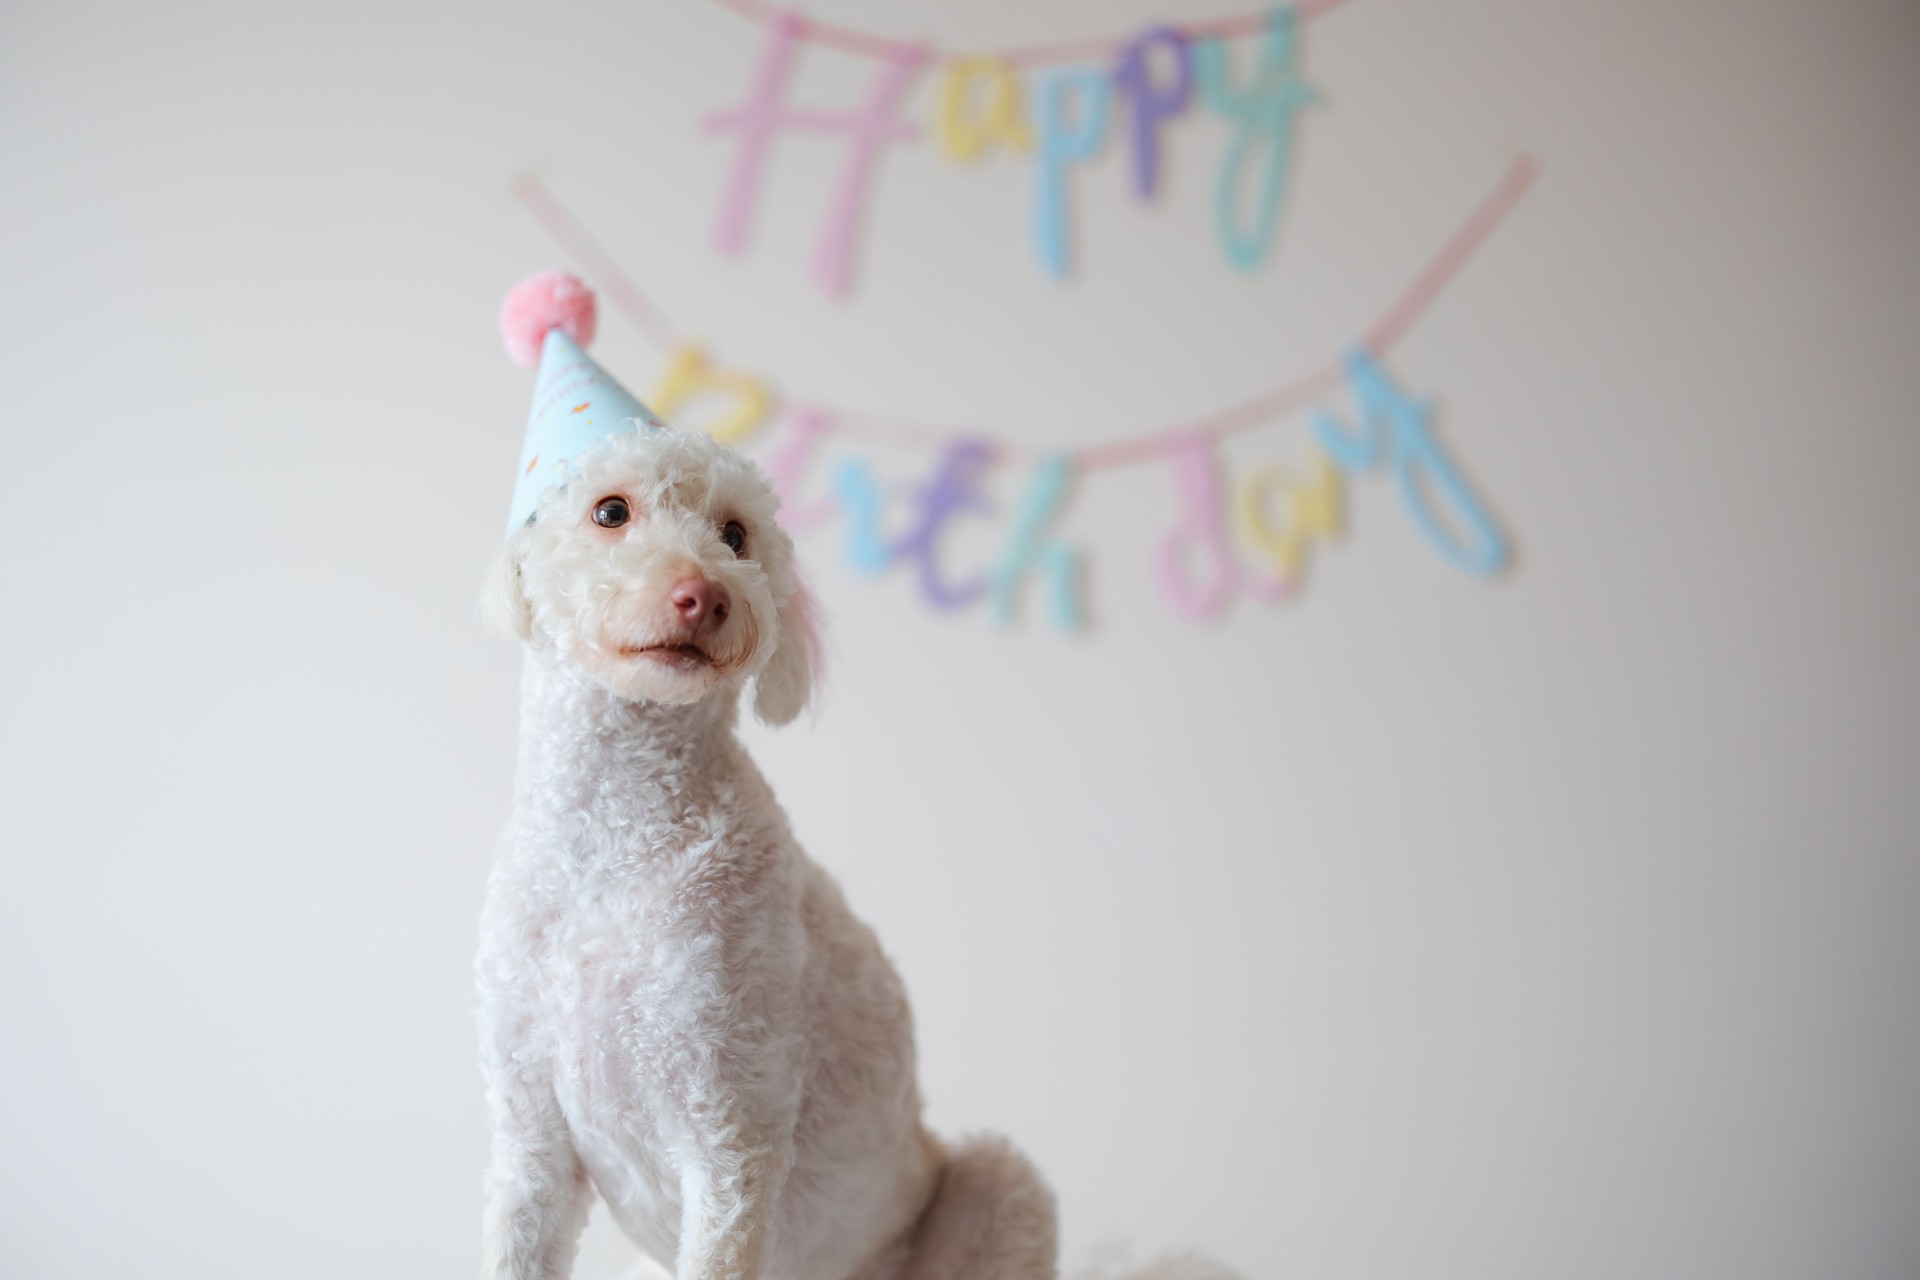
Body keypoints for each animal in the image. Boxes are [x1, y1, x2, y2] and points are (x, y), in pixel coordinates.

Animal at [474, 427, 1067, 1280]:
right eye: (610, 511)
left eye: (735, 535)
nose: (705, 596)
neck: (612, 846)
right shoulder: (532, 1143)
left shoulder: (729, 1129)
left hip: (996, 1182)